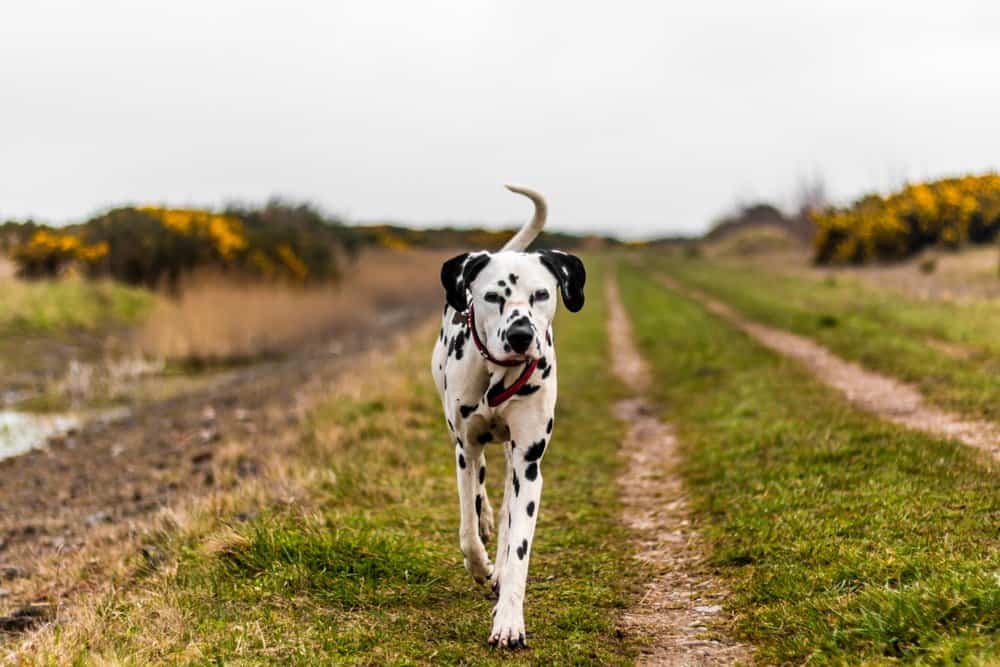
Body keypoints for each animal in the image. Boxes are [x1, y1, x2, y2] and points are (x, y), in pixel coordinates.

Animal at [430, 185, 584, 648]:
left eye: (541, 295)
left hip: (515, 458)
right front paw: (478, 563)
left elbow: (518, 545)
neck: (498, 376)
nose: (521, 335)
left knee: (505, 508)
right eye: (493, 297)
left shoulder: (529, 463)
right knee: (481, 501)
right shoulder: (465, 448)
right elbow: (467, 527)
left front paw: (509, 621)